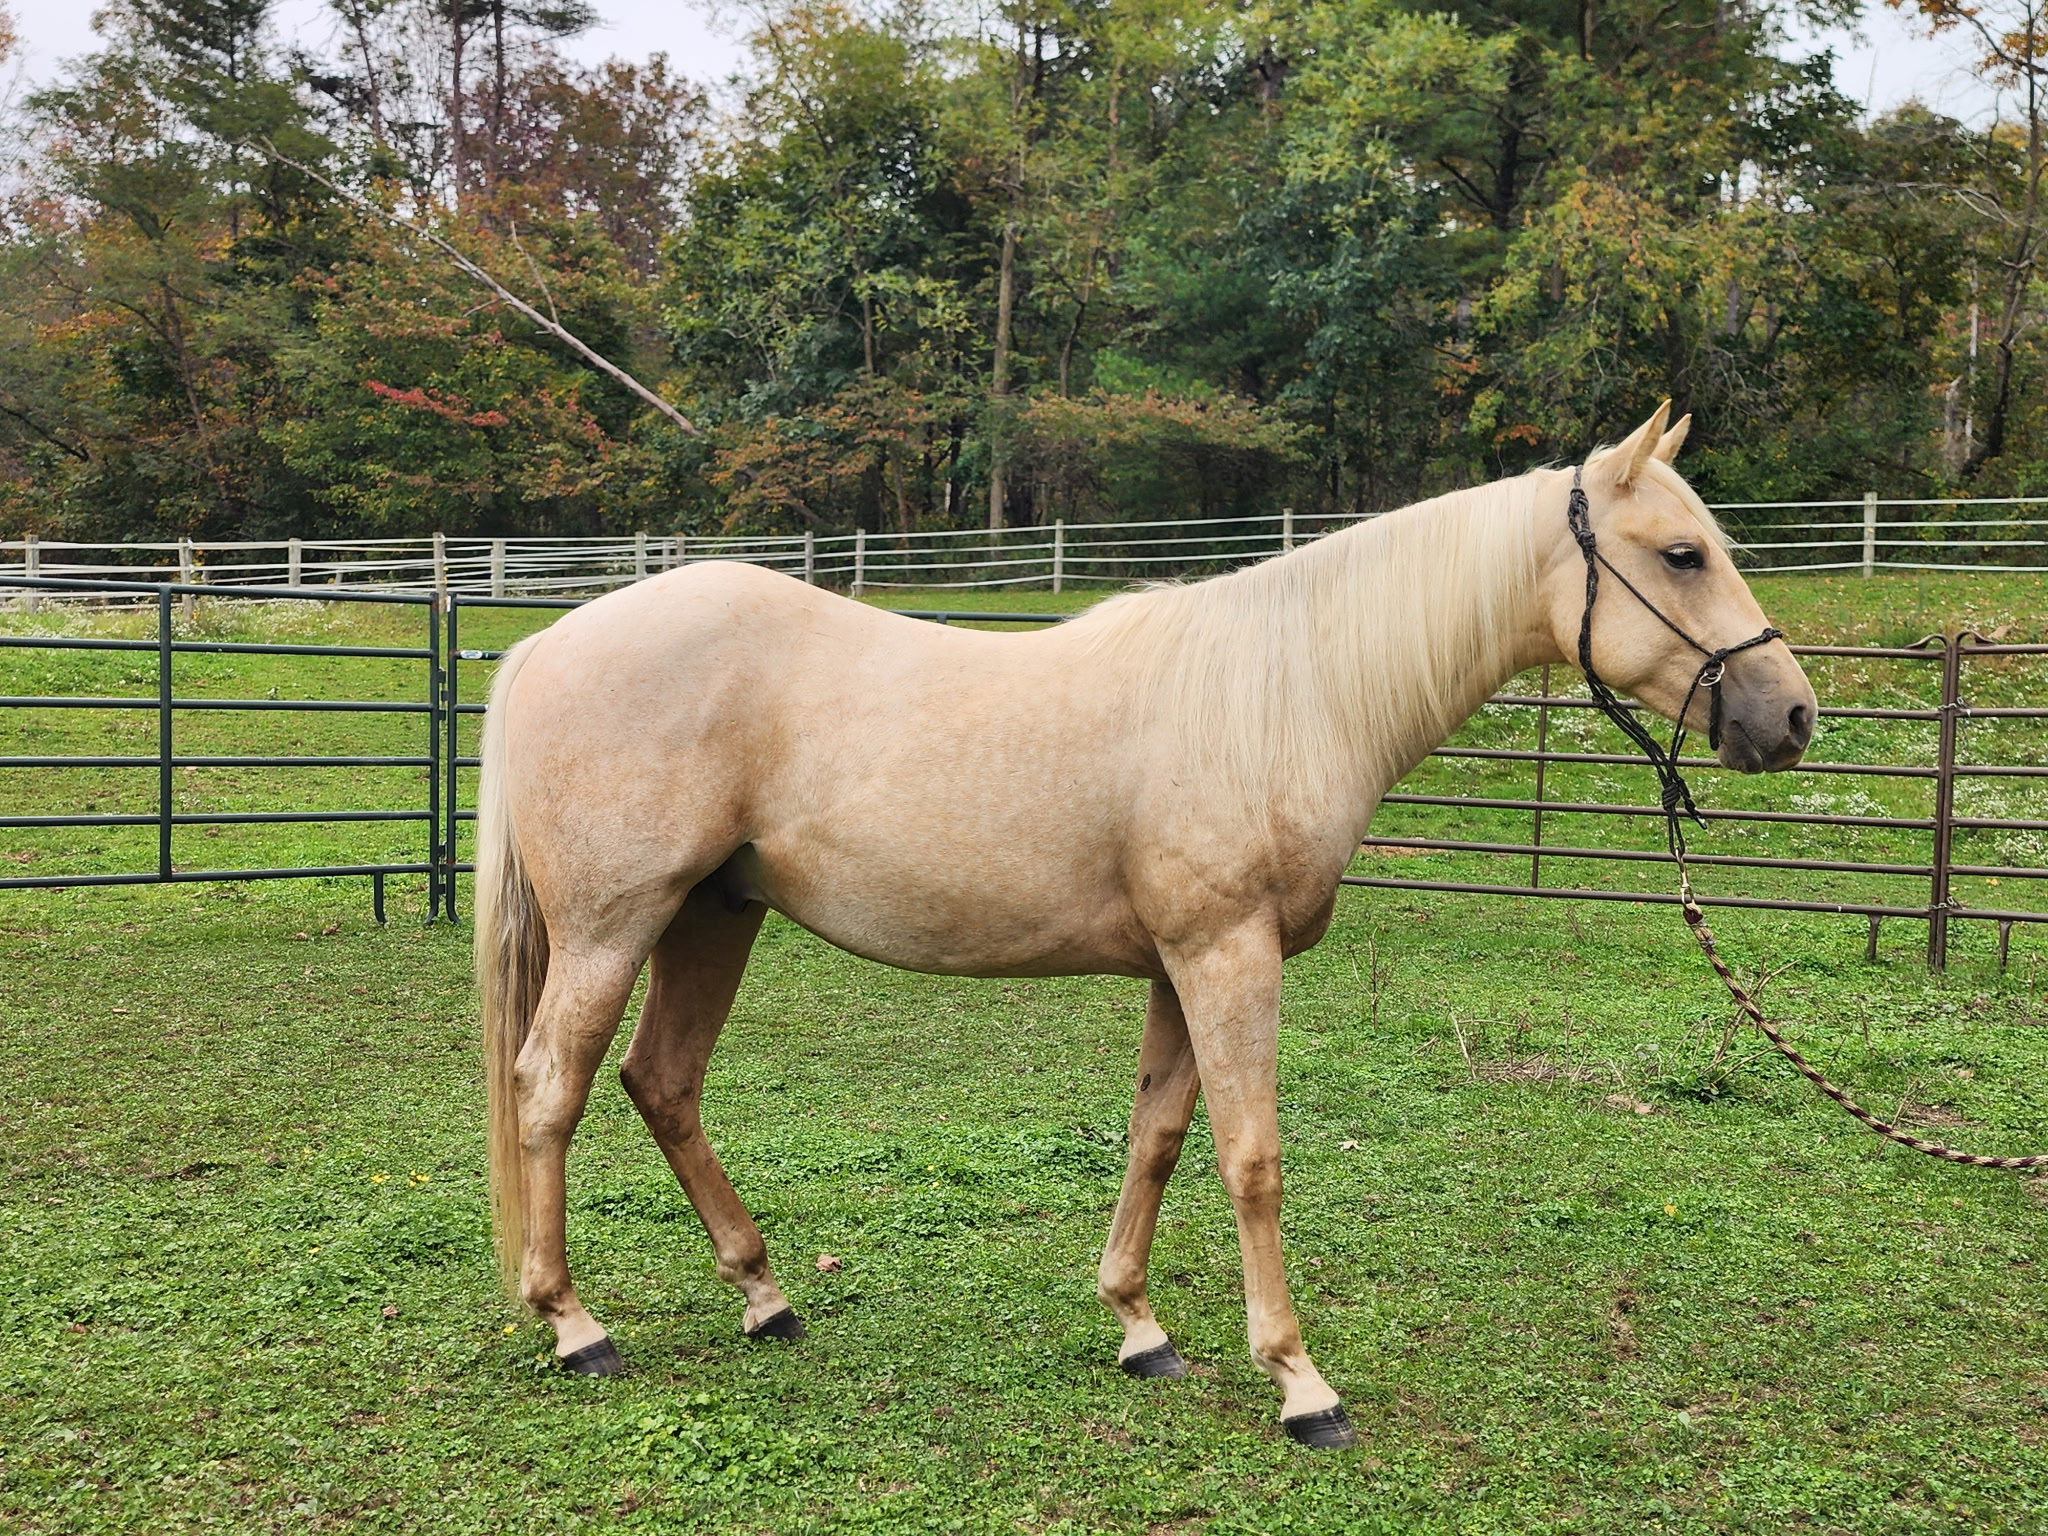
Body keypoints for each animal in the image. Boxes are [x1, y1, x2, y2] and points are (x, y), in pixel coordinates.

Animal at [474, 402, 1816, 1448]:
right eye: (1681, 554)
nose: (1789, 716)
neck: (1285, 694)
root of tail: (547, 642)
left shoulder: (1181, 965)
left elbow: (1158, 1138)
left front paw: (1137, 1325)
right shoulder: (1228, 956)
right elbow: (1250, 1157)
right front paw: (1299, 1384)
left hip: (713, 919)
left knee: (662, 1082)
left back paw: (764, 1297)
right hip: (614, 928)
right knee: (551, 1088)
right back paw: (574, 1325)